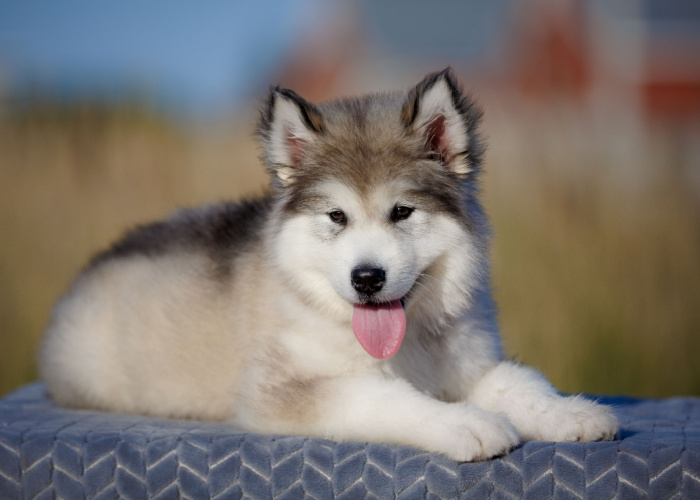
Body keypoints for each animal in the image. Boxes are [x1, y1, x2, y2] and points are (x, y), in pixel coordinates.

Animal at [41, 70, 616, 460]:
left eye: (402, 211)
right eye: (336, 216)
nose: (367, 279)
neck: (408, 340)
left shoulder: (465, 360)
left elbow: (520, 380)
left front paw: (570, 411)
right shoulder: (282, 390)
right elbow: (385, 397)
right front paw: (467, 423)